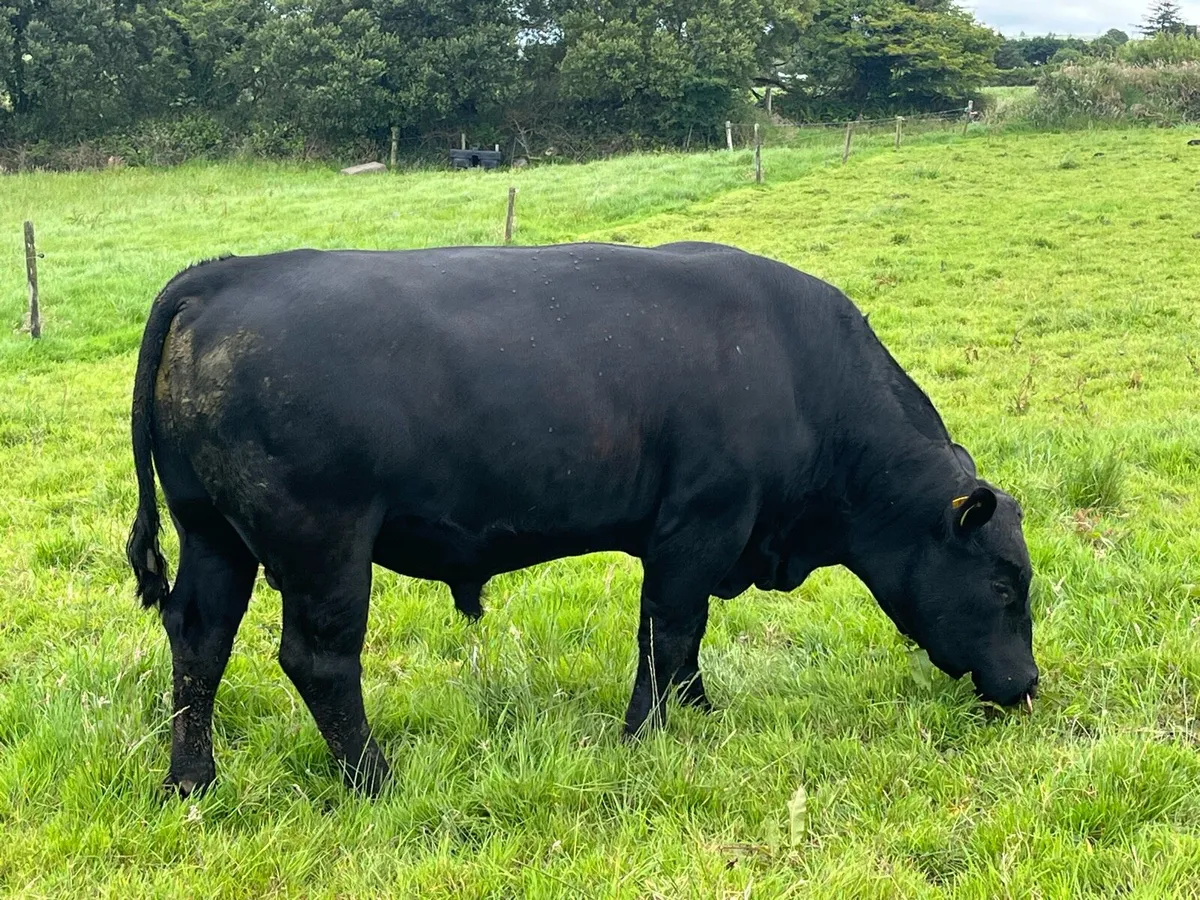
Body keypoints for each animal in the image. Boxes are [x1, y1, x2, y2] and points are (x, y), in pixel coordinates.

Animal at [127, 241, 1038, 798]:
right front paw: (646, 735)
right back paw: (374, 781)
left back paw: (191, 781)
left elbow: (681, 637)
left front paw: (700, 712)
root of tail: (226, 273)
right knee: (318, 662)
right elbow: (669, 629)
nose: (1027, 685)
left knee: (199, 639)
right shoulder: (698, 526)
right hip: (325, 548)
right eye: (1003, 583)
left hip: (214, 535)